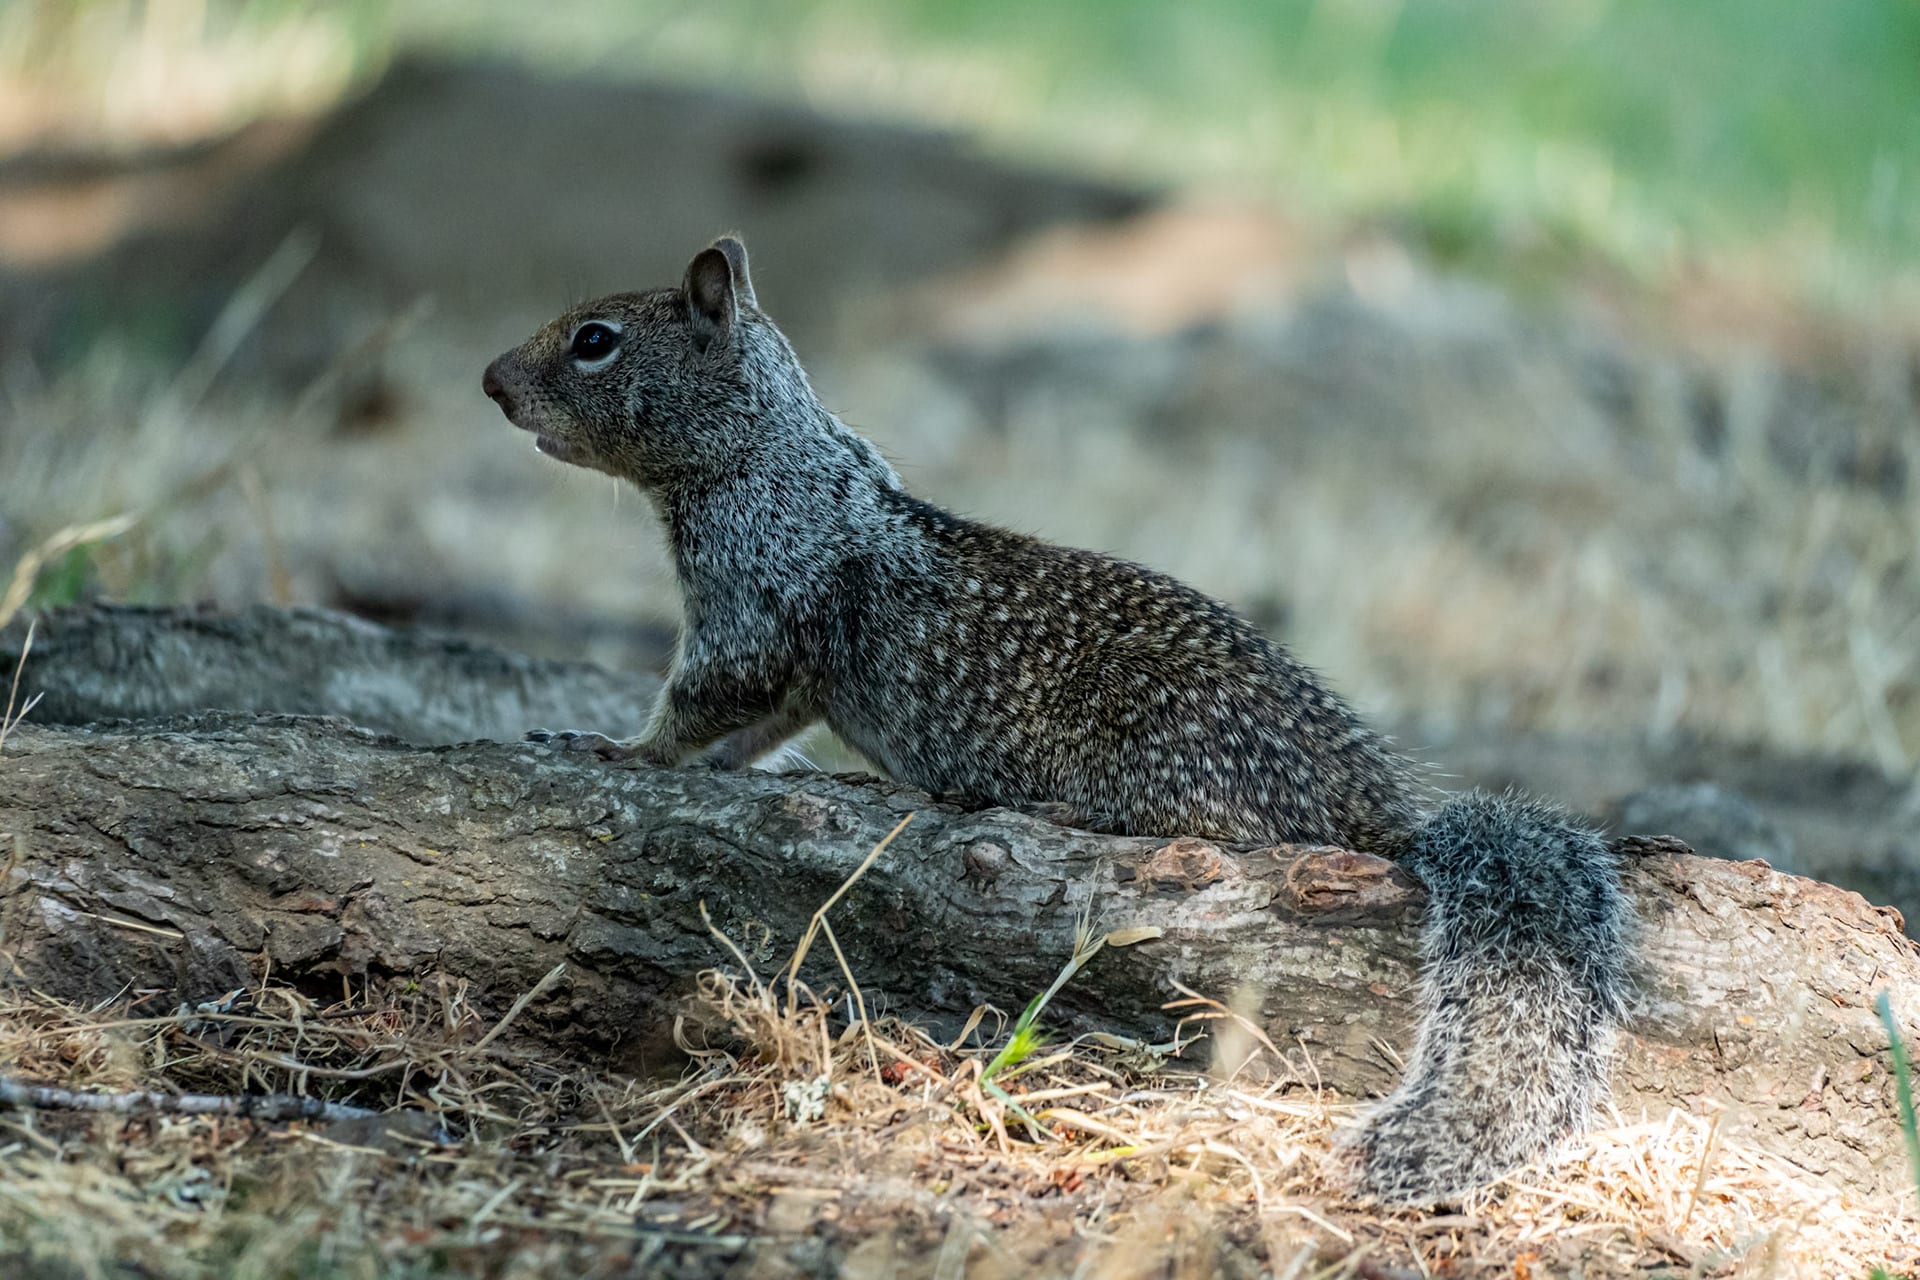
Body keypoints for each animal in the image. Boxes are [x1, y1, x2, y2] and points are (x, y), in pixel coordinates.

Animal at [480, 235, 1633, 1205]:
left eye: (595, 339)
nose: (490, 384)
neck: (770, 458)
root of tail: (1374, 811)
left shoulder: (754, 602)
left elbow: (707, 695)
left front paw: (623, 746)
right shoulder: (797, 671)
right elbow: (762, 726)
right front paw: (719, 764)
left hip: (1168, 755)